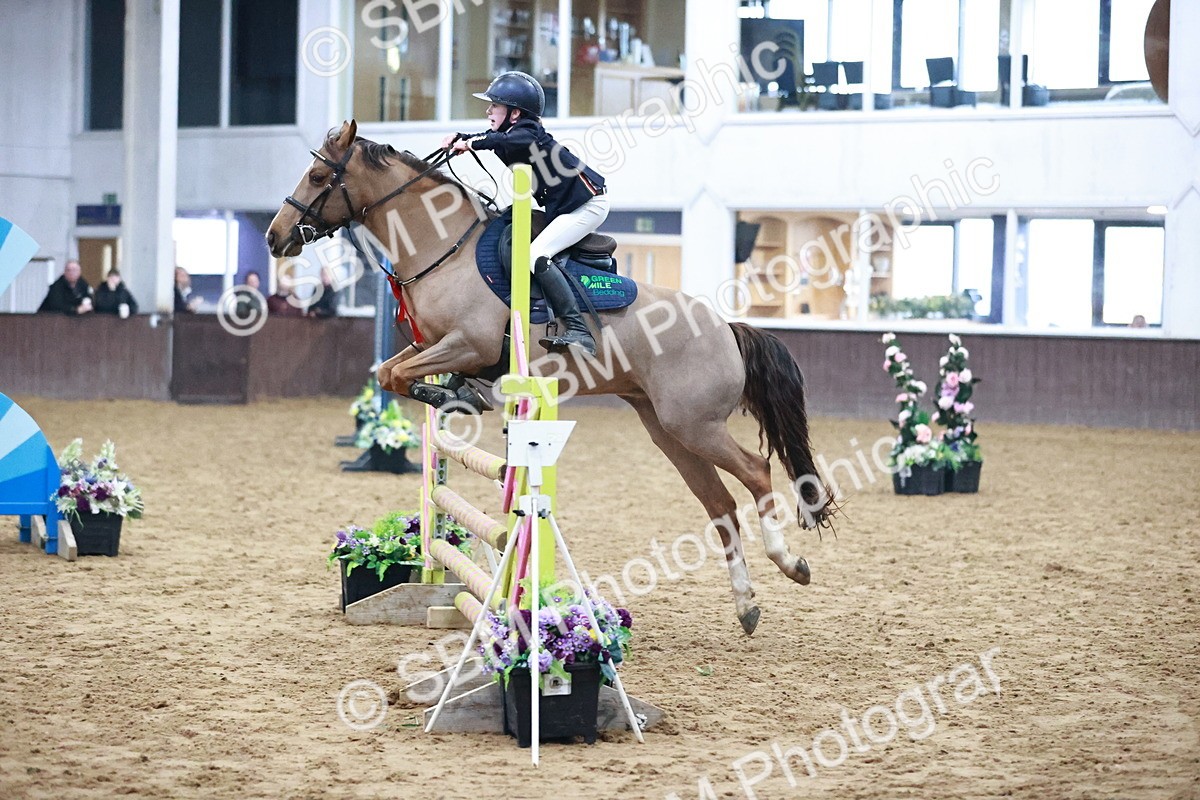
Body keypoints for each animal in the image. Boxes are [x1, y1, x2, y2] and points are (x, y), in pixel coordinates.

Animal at [267, 120, 836, 634]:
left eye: (319, 176)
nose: (276, 238)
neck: (443, 248)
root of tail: (725, 327)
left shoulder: (469, 343)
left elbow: (399, 375)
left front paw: (454, 396)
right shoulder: (435, 346)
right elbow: (390, 372)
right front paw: (453, 395)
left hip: (695, 425)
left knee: (757, 471)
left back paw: (791, 564)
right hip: (669, 430)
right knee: (720, 505)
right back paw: (746, 605)